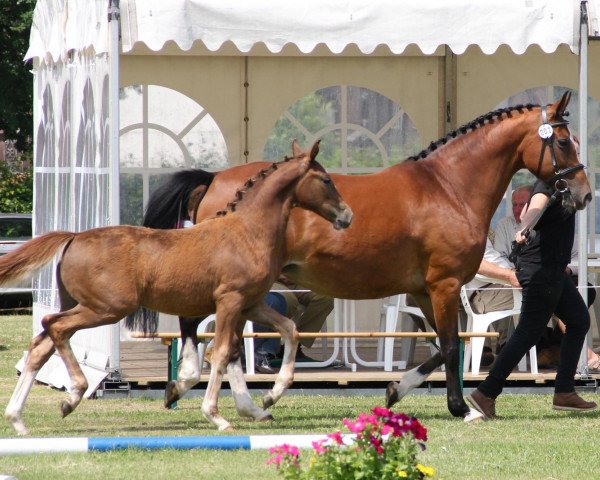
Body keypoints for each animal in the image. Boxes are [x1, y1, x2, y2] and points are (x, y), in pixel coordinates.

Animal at [1, 143, 352, 436]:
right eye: (325, 180)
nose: (346, 215)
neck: (247, 231)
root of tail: (74, 237)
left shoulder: (250, 304)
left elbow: (288, 331)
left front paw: (267, 400)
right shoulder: (230, 302)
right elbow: (221, 353)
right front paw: (216, 415)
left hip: (79, 304)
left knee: (41, 345)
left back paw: (18, 420)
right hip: (106, 308)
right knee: (55, 327)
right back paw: (73, 394)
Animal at [141, 91, 592, 420]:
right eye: (564, 142)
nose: (584, 194)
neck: (448, 187)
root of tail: (215, 178)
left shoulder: (425, 291)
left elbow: (441, 346)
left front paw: (396, 389)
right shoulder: (445, 285)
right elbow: (449, 347)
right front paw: (460, 408)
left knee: (223, 340)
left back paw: (235, 399)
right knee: (210, 334)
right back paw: (195, 386)